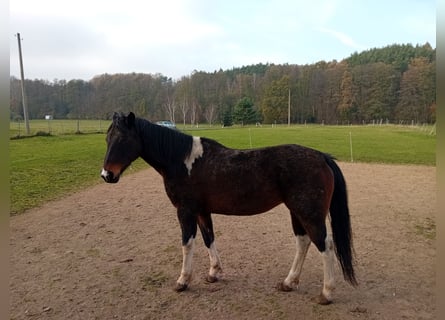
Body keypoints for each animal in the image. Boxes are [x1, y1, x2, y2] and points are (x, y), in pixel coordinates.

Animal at [101, 112, 358, 304]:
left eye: (123, 139)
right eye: (107, 138)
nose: (106, 175)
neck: (182, 161)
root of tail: (321, 156)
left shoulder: (185, 211)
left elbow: (187, 244)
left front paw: (183, 281)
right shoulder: (202, 212)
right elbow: (209, 239)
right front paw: (214, 273)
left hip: (309, 214)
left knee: (325, 246)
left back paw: (326, 293)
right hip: (297, 212)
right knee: (303, 242)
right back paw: (289, 282)